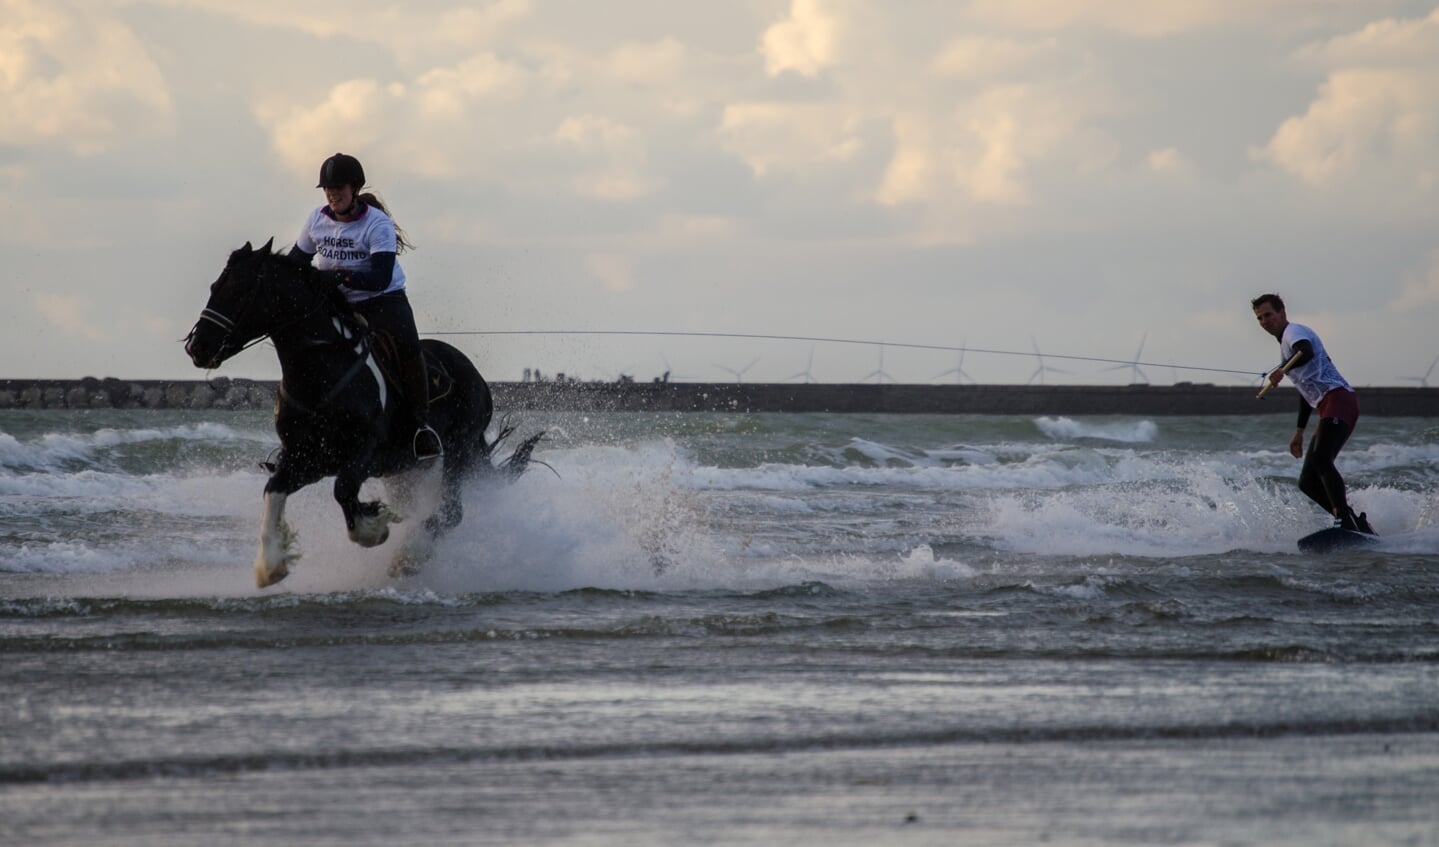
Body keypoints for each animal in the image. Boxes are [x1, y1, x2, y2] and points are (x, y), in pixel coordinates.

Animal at [181, 240, 541, 586]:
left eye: (240, 291)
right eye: (214, 286)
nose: (197, 348)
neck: (319, 373)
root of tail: (473, 372)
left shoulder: (364, 450)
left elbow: (343, 489)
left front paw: (373, 529)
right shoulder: (307, 458)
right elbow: (274, 489)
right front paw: (270, 565)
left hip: (457, 450)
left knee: (452, 512)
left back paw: (409, 557)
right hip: (405, 471)